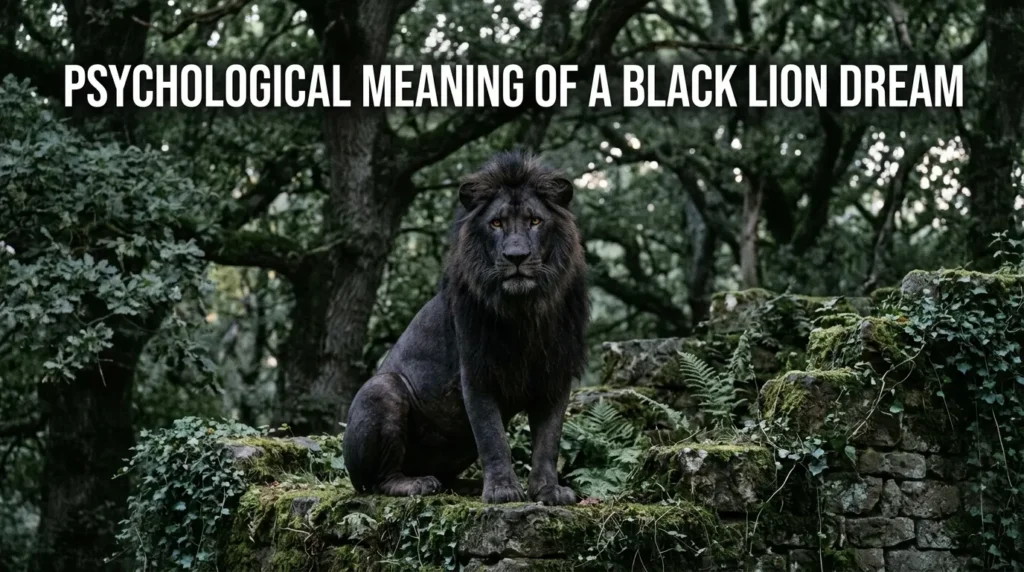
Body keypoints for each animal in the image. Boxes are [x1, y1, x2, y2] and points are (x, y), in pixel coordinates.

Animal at [343, 151, 589, 505]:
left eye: (535, 221)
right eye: (496, 223)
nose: (516, 256)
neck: (524, 310)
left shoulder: (555, 373)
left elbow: (548, 441)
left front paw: (548, 490)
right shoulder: (477, 371)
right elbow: (492, 437)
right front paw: (502, 490)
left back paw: (467, 485)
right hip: (382, 388)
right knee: (378, 480)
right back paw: (417, 483)